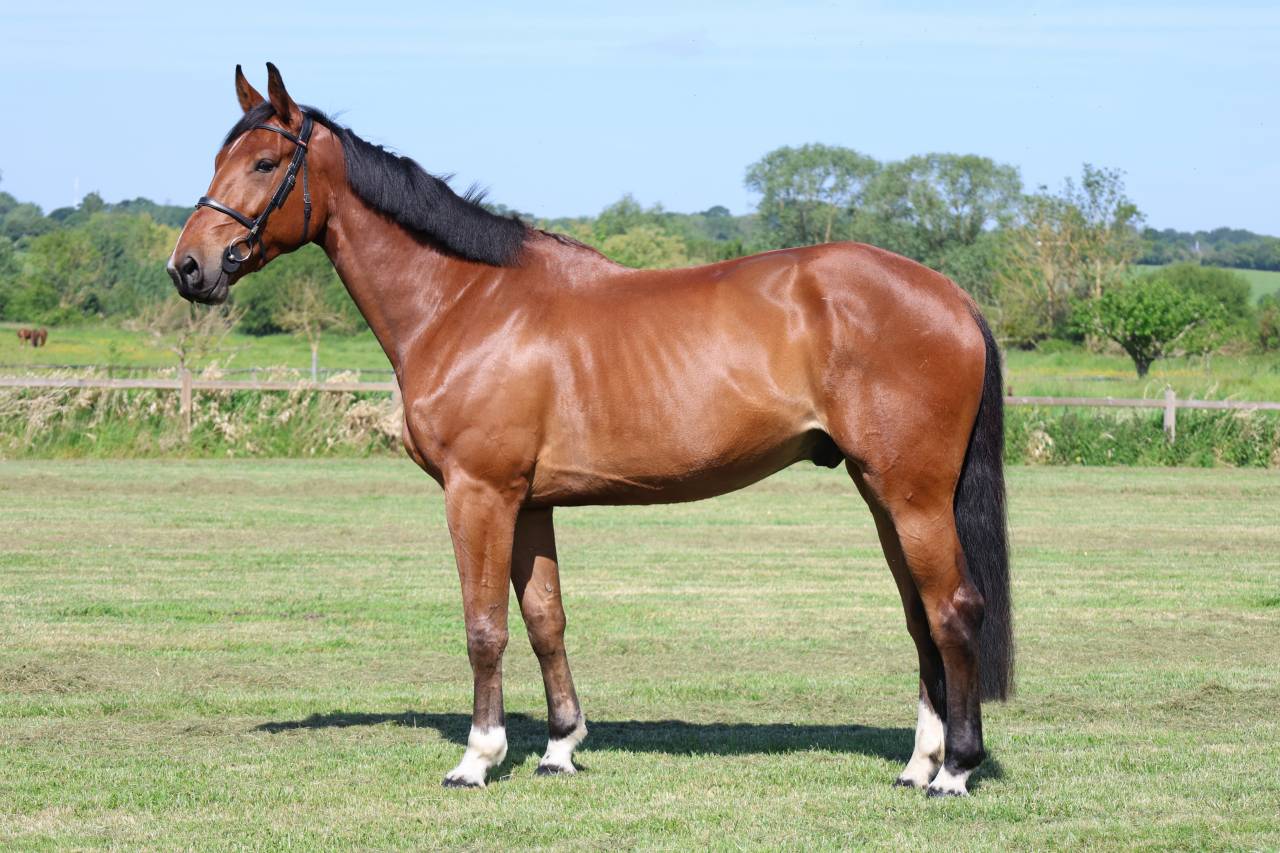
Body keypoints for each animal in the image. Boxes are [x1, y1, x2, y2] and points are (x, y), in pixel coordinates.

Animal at [169, 64, 1013, 796]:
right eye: (218, 156)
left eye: (265, 161)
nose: (189, 267)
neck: (467, 301)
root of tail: (950, 295)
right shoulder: (530, 503)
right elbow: (546, 619)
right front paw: (559, 746)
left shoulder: (479, 494)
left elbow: (484, 625)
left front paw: (477, 758)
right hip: (883, 493)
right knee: (920, 617)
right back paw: (918, 763)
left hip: (913, 496)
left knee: (953, 609)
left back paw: (955, 770)